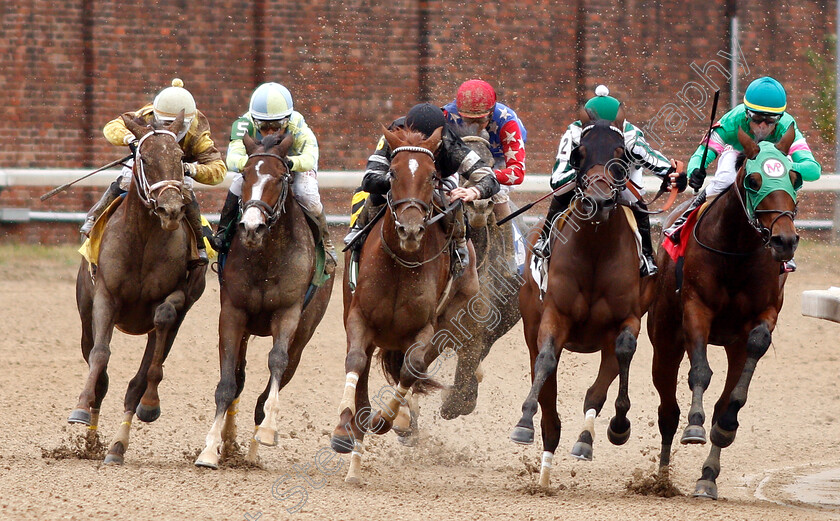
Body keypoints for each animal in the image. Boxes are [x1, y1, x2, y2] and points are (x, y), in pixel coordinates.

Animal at [69, 110, 207, 464]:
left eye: (180, 158)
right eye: (143, 157)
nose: (171, 209)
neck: (143, 239)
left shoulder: (179, 295)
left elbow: (163, 321)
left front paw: (150, 405)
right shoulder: (105, 296)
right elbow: (100, 355)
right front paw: (80, 409)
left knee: (138, 380)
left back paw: (117, 445)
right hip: (85, 315)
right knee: (98, 366)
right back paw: (92, 438)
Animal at [194, 133, 334, 468]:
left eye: (281, 177)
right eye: (245, 175)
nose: (252, 227)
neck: (266, 256)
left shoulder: (288, 313)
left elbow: (276, 361)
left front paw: (268, 431)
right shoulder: (233, 314)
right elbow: (227, 383)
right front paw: (210, 449)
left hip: (304, 334)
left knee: (279, 375)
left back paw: (255, 447)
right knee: (240, 377)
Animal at [332, 126, 482, 484]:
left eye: (431, 176)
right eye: (393, 173)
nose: (410, 229)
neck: (401, 263)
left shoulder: (424, 329)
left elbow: (411, 369)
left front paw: (386, 419)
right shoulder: (358, 320)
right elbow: (355, 363)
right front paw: (345, 428)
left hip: (450, 322)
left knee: (414, 370)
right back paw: (354, 455)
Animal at [512, 116, 644, 486]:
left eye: (620, 154)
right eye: (578, 154)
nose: (599, 200)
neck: (595, 249)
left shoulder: (627, 319)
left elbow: (624, 351)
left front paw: (618, 425)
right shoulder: (554, 316)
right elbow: (546, 359)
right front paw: (523, 423)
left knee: (598, 387)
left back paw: (585, 439)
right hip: (531, 326)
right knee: (546, 382)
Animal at [648, 127, 800, 500]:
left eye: (794, 177)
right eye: (754, 180)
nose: (785, 240)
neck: (737, 252)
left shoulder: (763, 314)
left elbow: (744, 372)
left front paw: (725, 428)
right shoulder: (696, 309)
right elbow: (700, 372)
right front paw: (695, 427)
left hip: (731, 344)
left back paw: (707, 476)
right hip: (665, 339)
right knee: (667, 411)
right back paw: (661, 479)